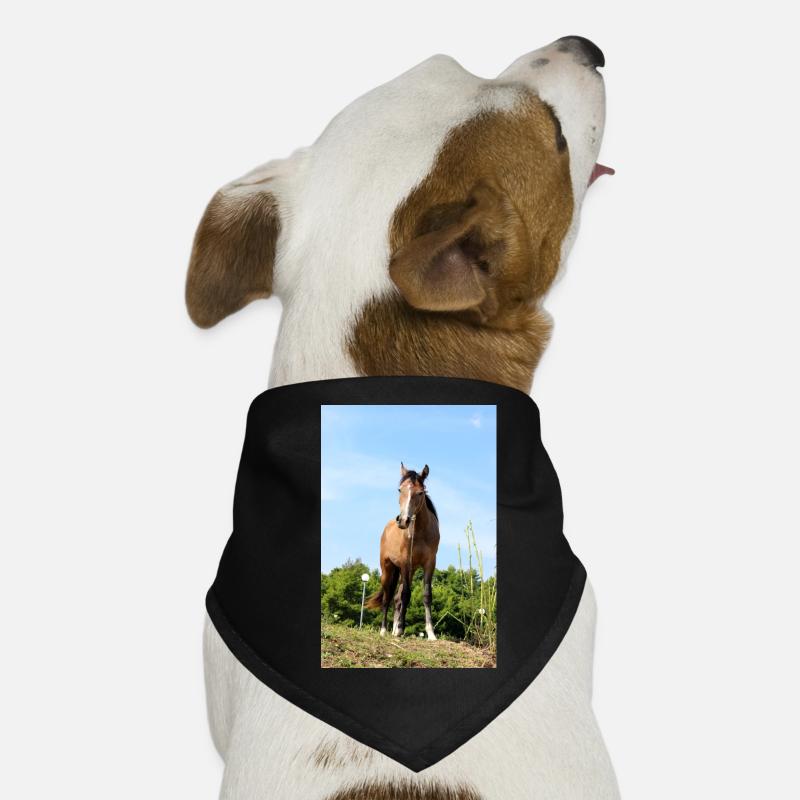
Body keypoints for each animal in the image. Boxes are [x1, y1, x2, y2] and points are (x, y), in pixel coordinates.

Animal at [365, 462, 440, 640]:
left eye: (420, 492)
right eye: (400, 490)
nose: (403, 520)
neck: (420, 532)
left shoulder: (430, 563)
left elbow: (426, 595)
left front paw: (431, 633)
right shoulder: (406, 562)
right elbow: (406, 595)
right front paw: (400, 629)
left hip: (407, 571)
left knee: (397, 598)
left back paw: (393, 629)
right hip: (388, 569)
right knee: (387, 598)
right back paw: (384, 630)